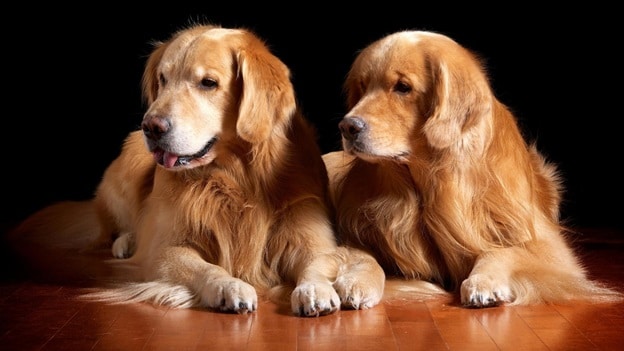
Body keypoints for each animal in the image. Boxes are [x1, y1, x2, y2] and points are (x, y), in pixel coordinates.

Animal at [12, 24, 386, 316]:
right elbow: (203, 267)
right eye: (163, 79)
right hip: (130, 161)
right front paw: (229, 287)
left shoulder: (311, 236)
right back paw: (126, 241)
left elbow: (316, 263)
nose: (152, 126)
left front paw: (315, 289)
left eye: (208, 83)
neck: (235, 177)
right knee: (116, 228)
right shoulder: (165, 250)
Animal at [324, 31, 620, 310]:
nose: (347, 127)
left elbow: (500, 251)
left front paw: (483, 281)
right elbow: (363, 256)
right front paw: (357, 281)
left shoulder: (552, 250)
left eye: (403, 87)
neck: (430, 182)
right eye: (362, 88)